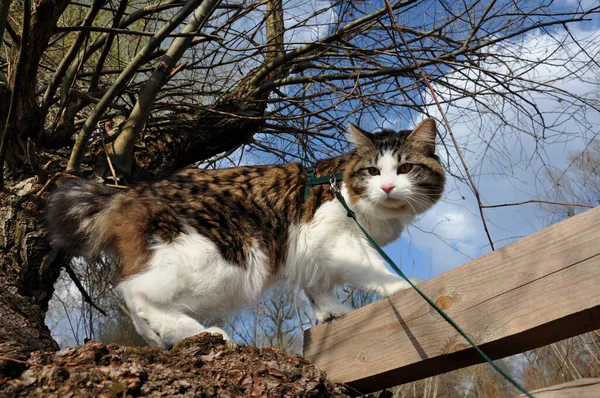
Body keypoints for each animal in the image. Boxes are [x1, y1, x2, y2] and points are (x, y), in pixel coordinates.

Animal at [47, 118, 446, 348]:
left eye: (405, 169)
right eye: (373, 172)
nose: (389, 188)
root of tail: (130, 192)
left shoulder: (308, 253)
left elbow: (317, 288)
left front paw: (332, 313)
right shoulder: (336, 237)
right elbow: (374, 269)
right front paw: (404, 286)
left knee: (133, 297)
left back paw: (163, 337)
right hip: (224, 258)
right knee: (134, 291)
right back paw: (202, 333)